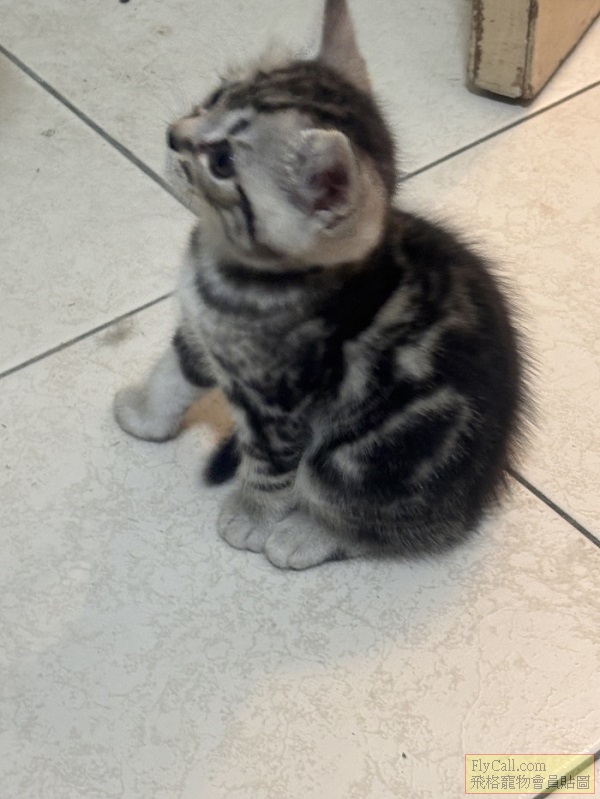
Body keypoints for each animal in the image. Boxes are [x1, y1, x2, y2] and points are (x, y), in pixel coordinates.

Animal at [114, 0, 526, 570]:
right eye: (215, 95)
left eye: (222, 162)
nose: (173, 134)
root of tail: (472, 503)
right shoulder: (200, 337)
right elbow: (171, 377)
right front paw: (145, 416)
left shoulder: (279, 405)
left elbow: (270, 470)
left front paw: (250, 515)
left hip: (367, 455)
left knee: (368, 520)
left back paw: (307, 533)